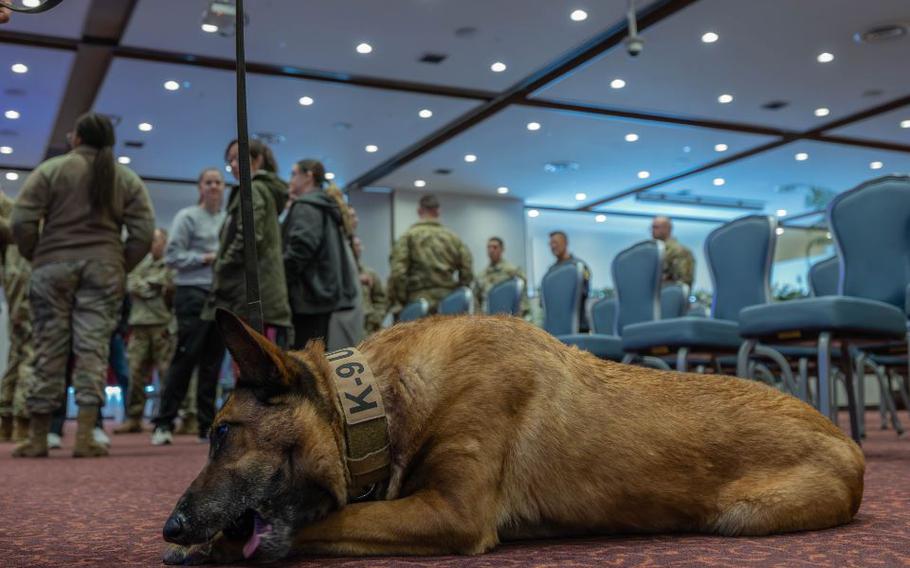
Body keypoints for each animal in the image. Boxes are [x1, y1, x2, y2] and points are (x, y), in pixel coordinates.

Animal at [160, 310, 864, 564]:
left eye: (222, 433)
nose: (171, 526)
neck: (380, 403)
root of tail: (853, 444)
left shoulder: (450, 512)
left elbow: (326, 522)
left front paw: (211, 549)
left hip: (744, 516)